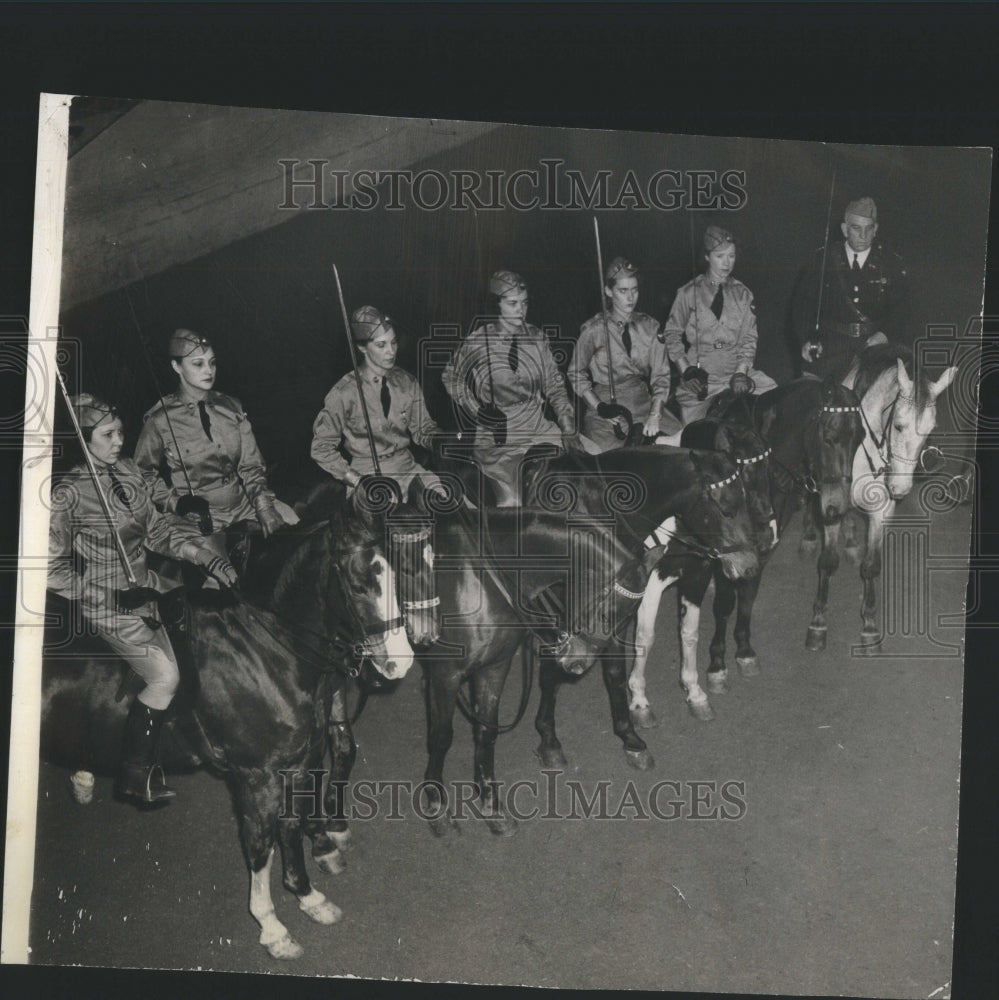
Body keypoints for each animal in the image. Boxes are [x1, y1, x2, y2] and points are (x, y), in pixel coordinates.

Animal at [41, 492, 432, 960]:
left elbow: (291, 824)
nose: (401, 661)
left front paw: (308, 896)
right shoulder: (256, 777)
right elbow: (260, 846)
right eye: (358, 586)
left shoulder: (297, 763)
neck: (265, 649)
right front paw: (272, 927)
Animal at [528, 444, 760, 764]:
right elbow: (619, 656)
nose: (750, 566)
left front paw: (691, 696)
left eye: (748, 499)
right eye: (725, 508)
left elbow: (681, 636)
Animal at [836, 348, 960, 652]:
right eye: (900, 426)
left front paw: (869, 627)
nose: (901, 488)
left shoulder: (881, 511)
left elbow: (871, 567)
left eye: (930, 430)